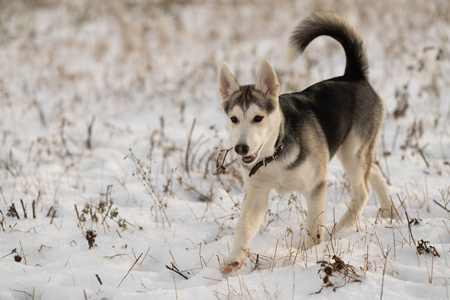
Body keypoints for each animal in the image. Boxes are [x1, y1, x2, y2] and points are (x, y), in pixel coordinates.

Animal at [218, 12, 394, 274]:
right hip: (353, 150)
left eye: (258, 118)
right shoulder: (256, 193)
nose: (241, 148)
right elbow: (244, 226)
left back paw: (341, 228)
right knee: (374, 171)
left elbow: (313, 227)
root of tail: (353, 76)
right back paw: (388, 212)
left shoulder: (315, 187)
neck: (275, 153)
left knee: (362, 189)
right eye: (234, 119)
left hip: (353, 149)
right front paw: (234, 259)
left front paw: (308, 254)